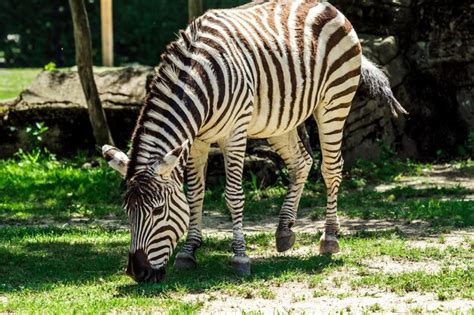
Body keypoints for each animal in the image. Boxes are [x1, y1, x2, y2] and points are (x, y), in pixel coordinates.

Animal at [102, 0, 406, 284]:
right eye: (127, 211)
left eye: (157, 210)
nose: (137, 272)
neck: (198, 80)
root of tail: (327, 6)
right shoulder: (197, 140)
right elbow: (195, 194)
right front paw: (189, 252)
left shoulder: (234, 134)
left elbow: (233, 195)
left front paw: (240, 258)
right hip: (281, 119)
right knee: (301, 162)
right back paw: (284, 231)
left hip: (334, 101)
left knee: (331, 168)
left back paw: (329, 238)